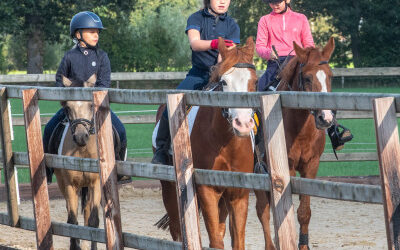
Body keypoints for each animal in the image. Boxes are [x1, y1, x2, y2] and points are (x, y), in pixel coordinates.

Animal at [53, 74, 101, 250]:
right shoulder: (69, 185)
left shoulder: (95, 184)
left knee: (87, 213)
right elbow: (72, 221)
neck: (82, 151)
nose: (81, 137)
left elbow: (93, 221)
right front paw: (75, 246)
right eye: (68, 107)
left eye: (91, 105)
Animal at [156, 37, 256, 250]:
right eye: (224, 82)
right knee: (177, 230)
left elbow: (236, 240)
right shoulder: (207, 190)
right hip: (170, 191)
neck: (225, 142)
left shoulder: (238, 194)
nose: (243, 123)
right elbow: (216, 241)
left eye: (255, 81)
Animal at [255, 36, 336, 249]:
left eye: (330, 76)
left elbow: (304, 212)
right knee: (262, 210)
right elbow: (286, 211)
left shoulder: (311, 166)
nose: (326, 118)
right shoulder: (288, 167)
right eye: (307, 78)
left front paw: (303, 244)